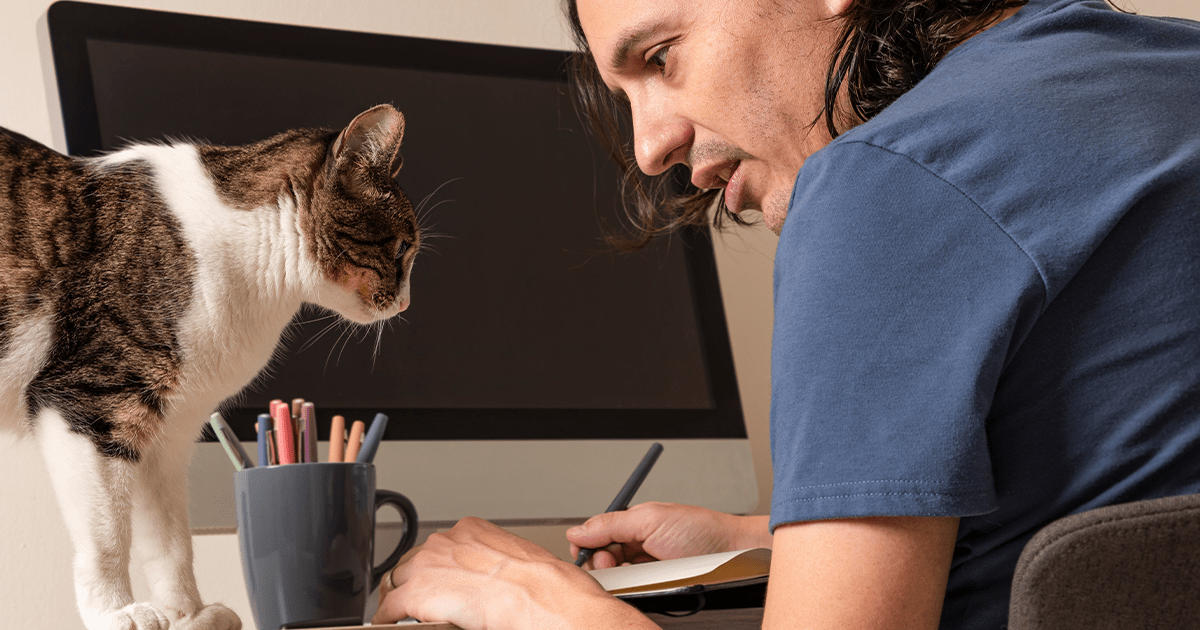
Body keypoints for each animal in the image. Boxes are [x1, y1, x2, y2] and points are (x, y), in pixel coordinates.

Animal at [0, 100, 422, 624]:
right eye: (402, 247)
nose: (405, 304)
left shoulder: (169, 435)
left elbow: (171, 540)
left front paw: (187, 615)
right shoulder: (87, 401)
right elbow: (106, 537)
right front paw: (116, 613)